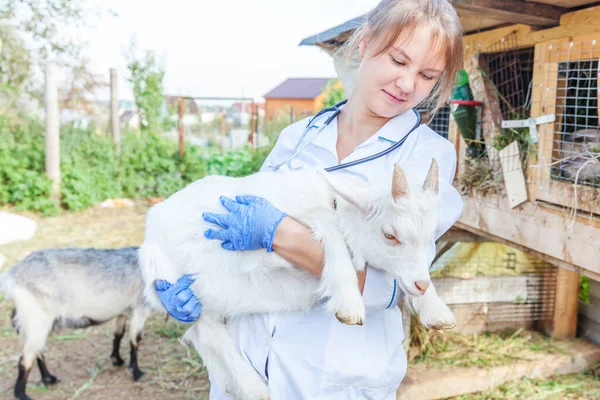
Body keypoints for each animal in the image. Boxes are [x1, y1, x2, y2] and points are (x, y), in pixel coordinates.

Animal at [0, 247, 152, 400]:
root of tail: (12, 274)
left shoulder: (123, 311)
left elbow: (118, 334)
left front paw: (117, 360)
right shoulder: (140, 307)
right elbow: (135, 340)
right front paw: (137, 373)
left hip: (34, 319)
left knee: (35, 347)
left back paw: (49, 378)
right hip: (38, 317)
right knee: (25, 358)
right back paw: (22, 394)